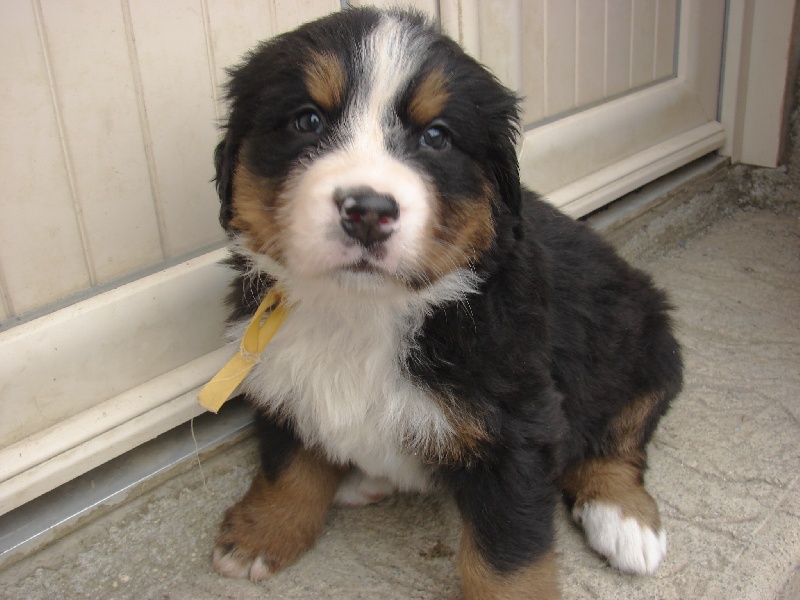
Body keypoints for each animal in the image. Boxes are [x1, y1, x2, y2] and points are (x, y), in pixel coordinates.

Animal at [208, 7, 683, 598]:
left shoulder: (515, 425)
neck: (363, 311)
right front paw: (263, 531)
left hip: (643, 342)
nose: (368, 211)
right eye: (307, 122)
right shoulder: (277, 371)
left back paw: (624, 519)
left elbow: (508, 557)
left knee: (622, 435)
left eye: (436, 136)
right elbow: (286, 460)